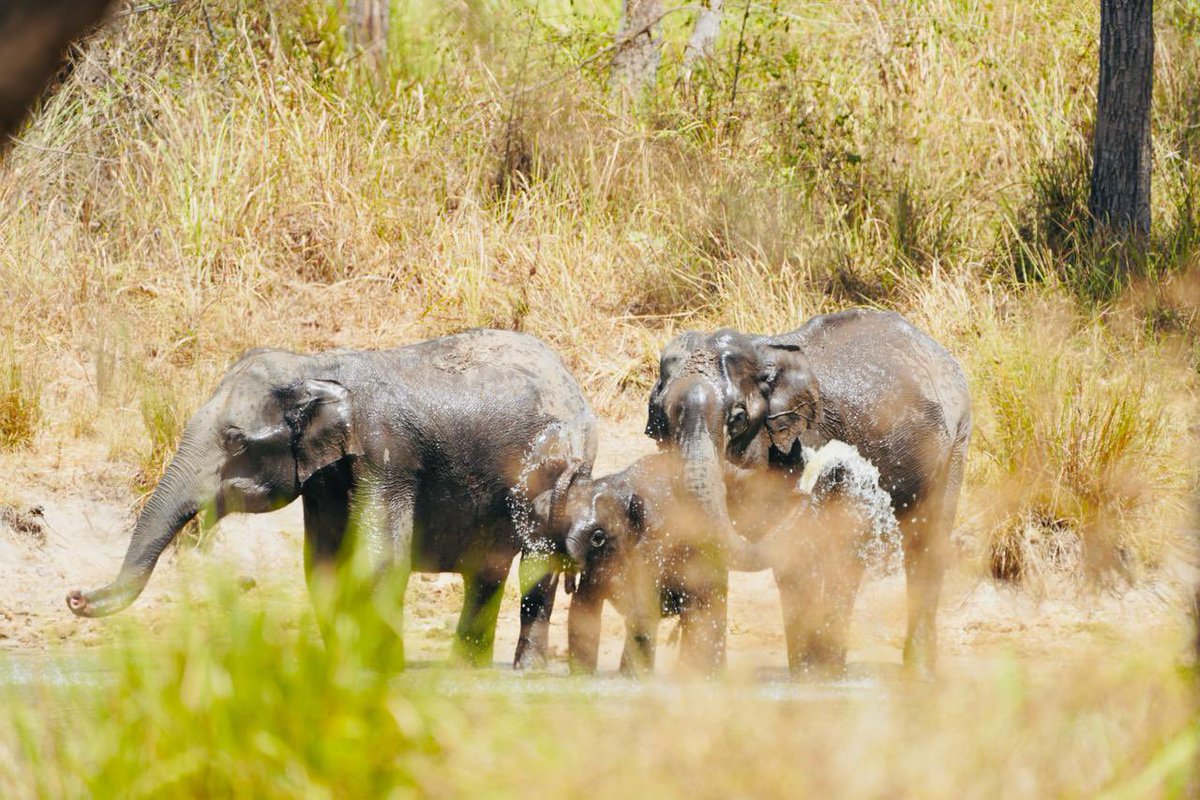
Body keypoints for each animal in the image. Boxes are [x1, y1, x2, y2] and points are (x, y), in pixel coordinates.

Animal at [63, 326, 597, 671]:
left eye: (234, 441)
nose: (75, 596)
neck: (313, 366)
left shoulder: (386, 455)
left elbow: (380, 560)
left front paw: (379, 670)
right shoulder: (324, 480)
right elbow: (321, 565)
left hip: (556, 469)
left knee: (536, 563)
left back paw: (524, 671)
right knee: (486, 571)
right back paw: (467, 670)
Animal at [643, 309, 969, 681]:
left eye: (738, 418)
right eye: (663, 417)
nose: (805, 490)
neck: (764, 352)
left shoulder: (811, 436)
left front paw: (817, 675)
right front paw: (803, 676)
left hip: (956, 440)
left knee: (922, 541)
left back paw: (911, 672)